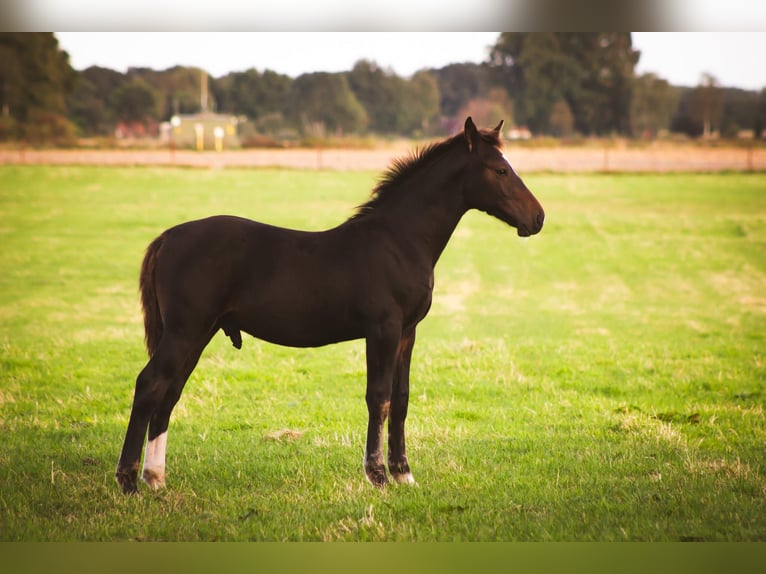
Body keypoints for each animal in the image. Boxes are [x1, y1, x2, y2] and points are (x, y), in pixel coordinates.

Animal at [115, 117, 545, 494]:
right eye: (500, 170)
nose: (538, 218)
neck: (399, 241)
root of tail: (168, 238)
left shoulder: (407, 333)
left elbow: (401, 399)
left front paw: (404, 473)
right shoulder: (383, 330)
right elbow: (379, 397)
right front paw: (377, 475)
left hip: (197, 333)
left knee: (169, 393)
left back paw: (155, 478)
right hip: (185, 332)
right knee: (149, 385)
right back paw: (128, 481)